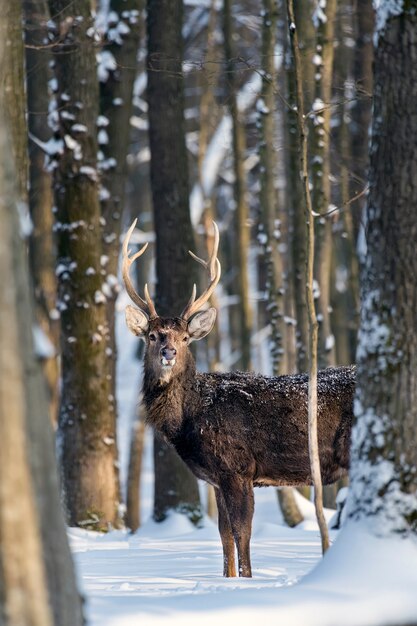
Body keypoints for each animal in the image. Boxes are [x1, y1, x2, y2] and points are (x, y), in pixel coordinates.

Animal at [122, 218, 354, 576]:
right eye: (151, 334)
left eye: (185, 337)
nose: (168, 352)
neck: (191, 420)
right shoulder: (217, 479)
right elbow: (223, 535)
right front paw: (228, 580)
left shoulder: (237, 468)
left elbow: (241, 533)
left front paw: (247, 580)